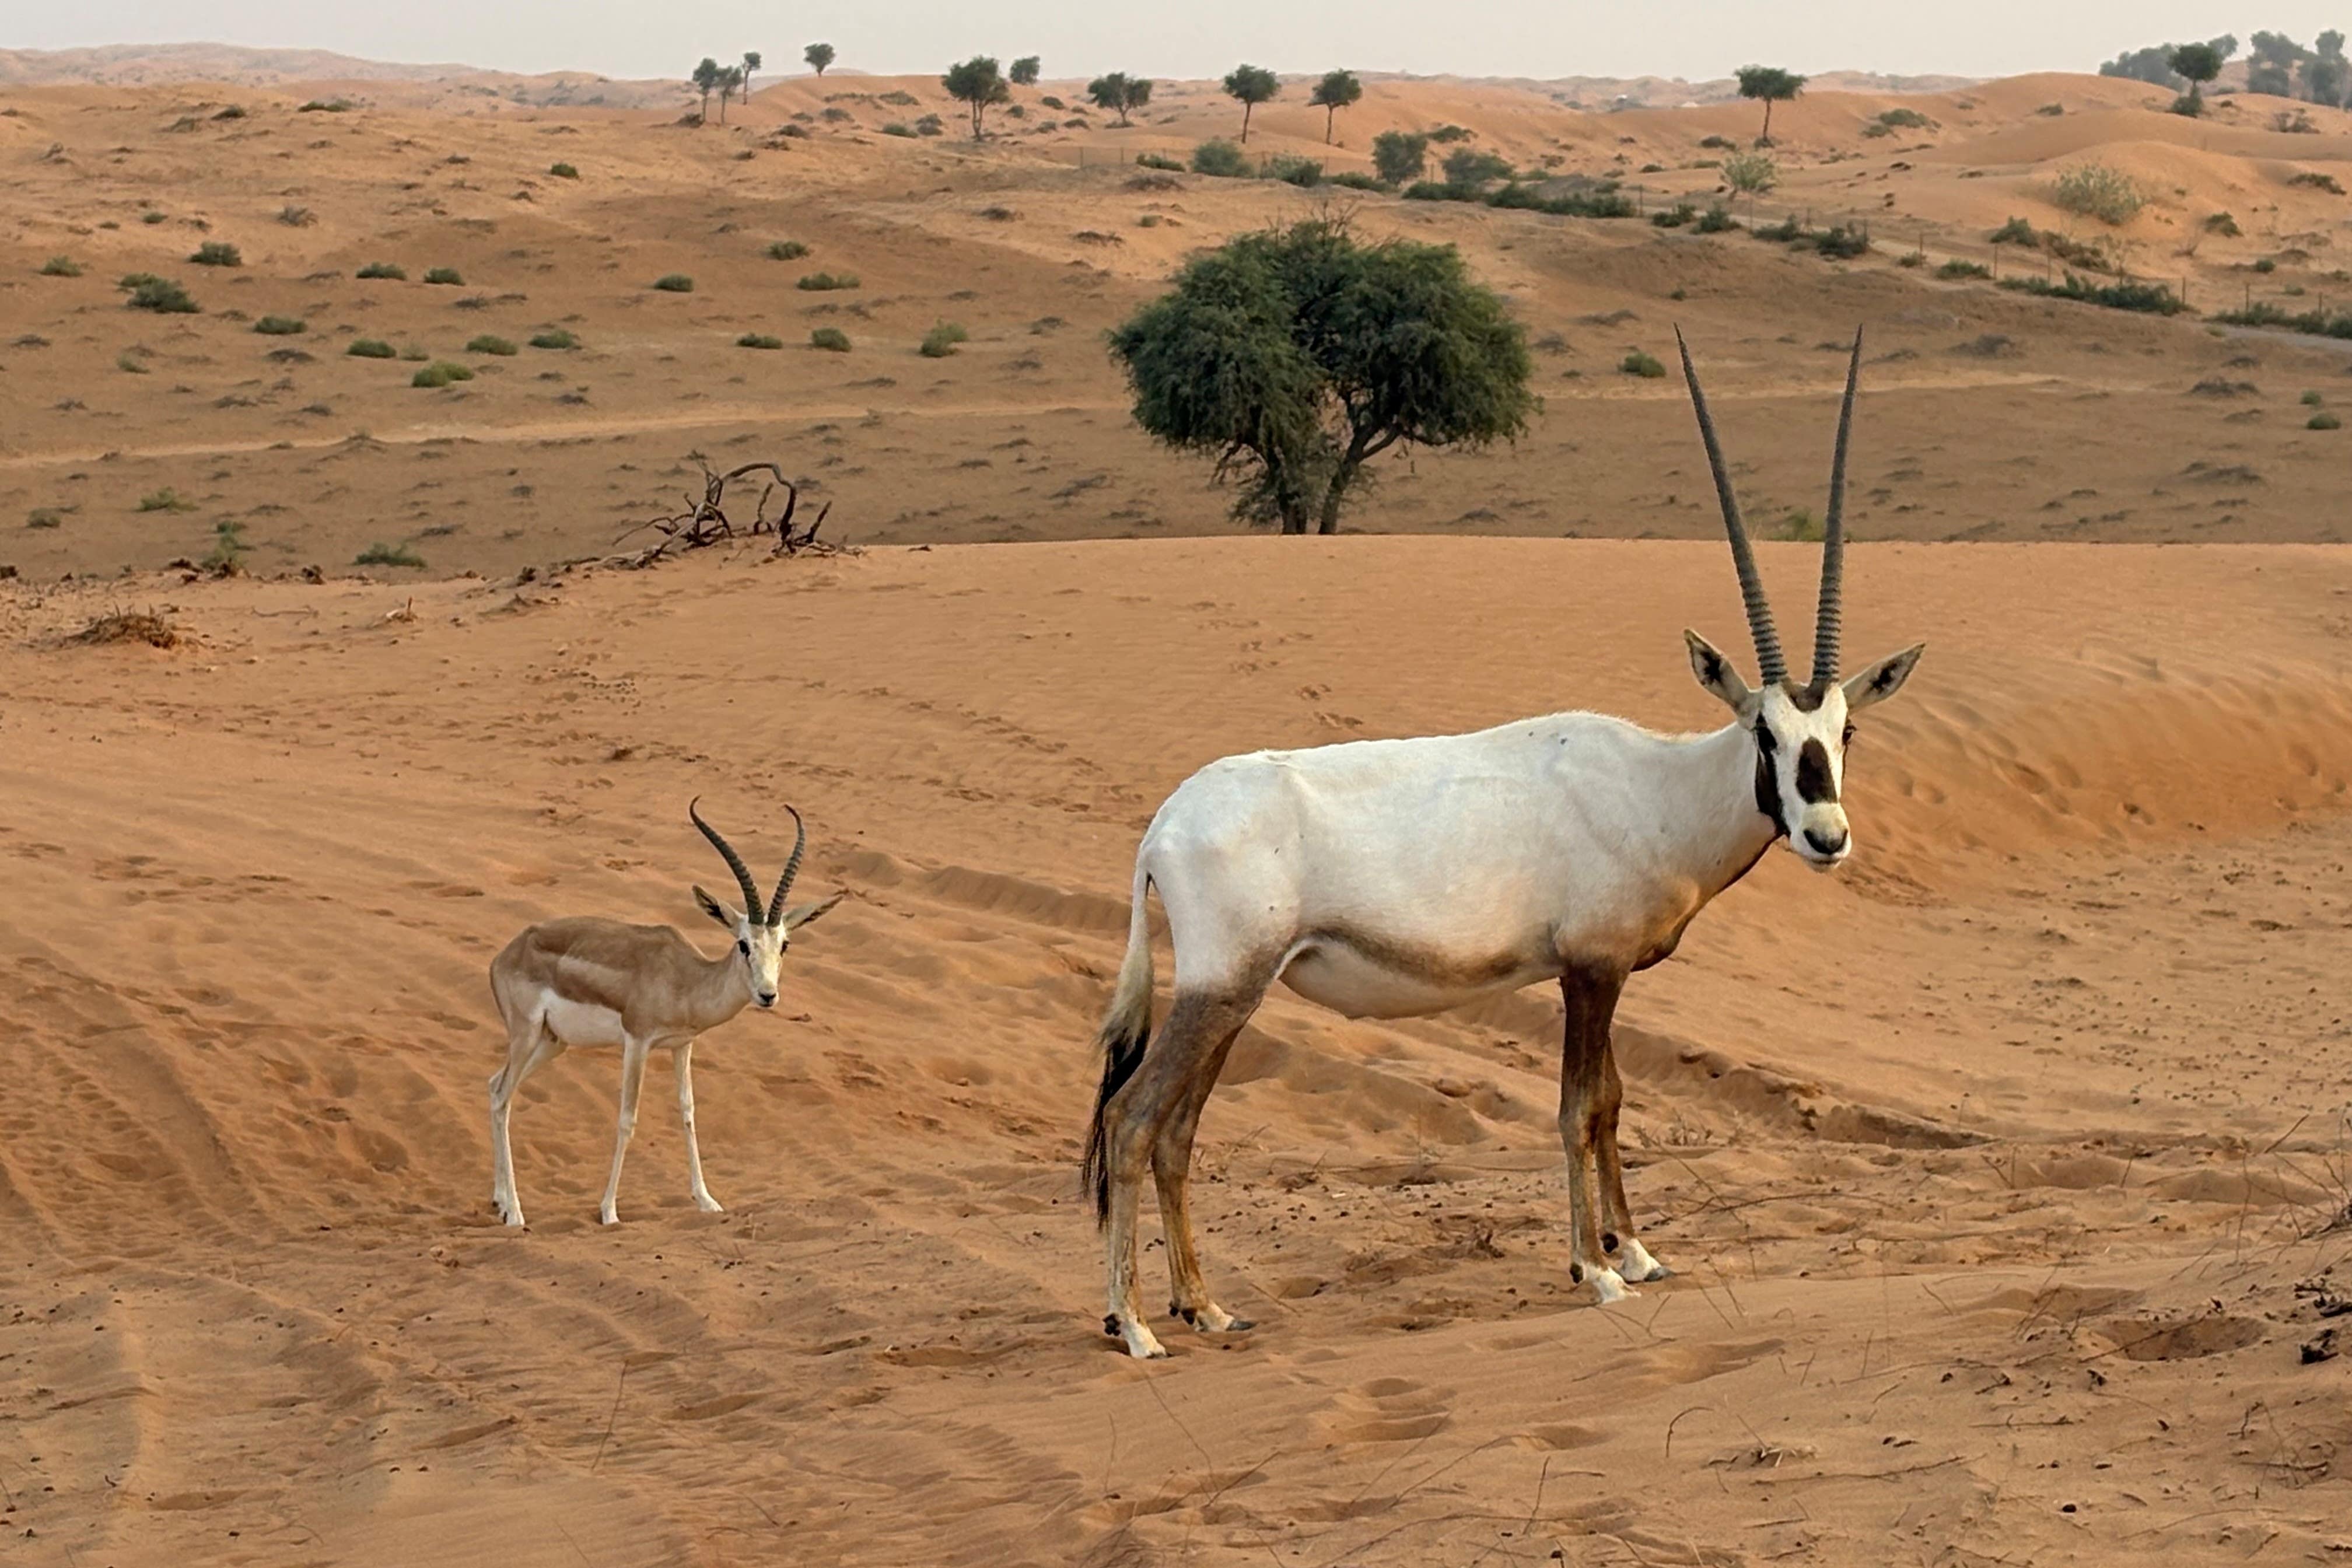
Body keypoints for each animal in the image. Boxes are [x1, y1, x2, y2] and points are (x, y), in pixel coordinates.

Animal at [488, 800, 842, 1227]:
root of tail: (505, 954)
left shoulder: (681, 1045)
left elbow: (688, 1113)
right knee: (503, 1098)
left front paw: (707, 1200)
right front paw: (609, 1211)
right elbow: (627, 1119)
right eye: (743, 944)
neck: (684, 979)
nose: (767, 995)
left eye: (784, 944)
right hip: (525, 1036)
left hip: (551, 1043)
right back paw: (516, 1213)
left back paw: (501, 1201)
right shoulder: (637, 1042)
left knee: (493, 1087)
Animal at [1080, 330, 1924, 1358]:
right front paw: (1597, 1270)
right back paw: (1133, 1324)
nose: (1826, 836)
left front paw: (1640, 1252)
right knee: (1132, 1119)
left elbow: (1612, 1102)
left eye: (1845, 731)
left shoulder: (1602, 974)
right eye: (1764, 731)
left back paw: (1202, 1305)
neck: (1659, 785)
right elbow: (1576, 1111)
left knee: (1174, 1131)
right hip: (1220, 990)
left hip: (1231, 998)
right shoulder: (1590, 971)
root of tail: (1163, 826)